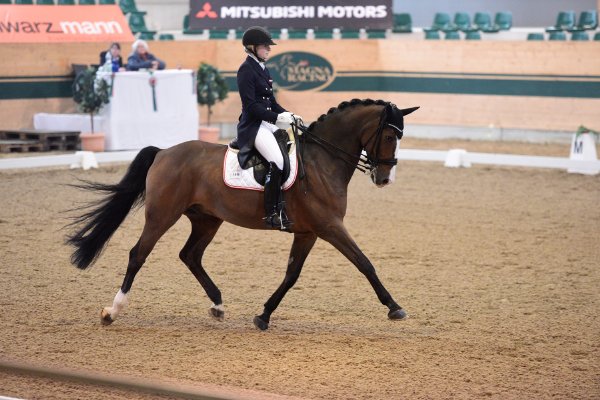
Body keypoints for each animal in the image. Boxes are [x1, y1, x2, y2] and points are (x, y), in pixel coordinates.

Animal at [67, 98, 418, 330]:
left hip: (207, 219)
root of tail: (164, 152)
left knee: (190, 255)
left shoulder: (308, 232)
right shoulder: (330, 226)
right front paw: (395, 307)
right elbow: (364, 263)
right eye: (390, 136)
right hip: (162, 215)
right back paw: (112, 311)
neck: (322, 161)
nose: (384, 179)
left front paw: (263, 316)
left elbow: (291, 275)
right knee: (138, 254)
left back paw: (218, 305)